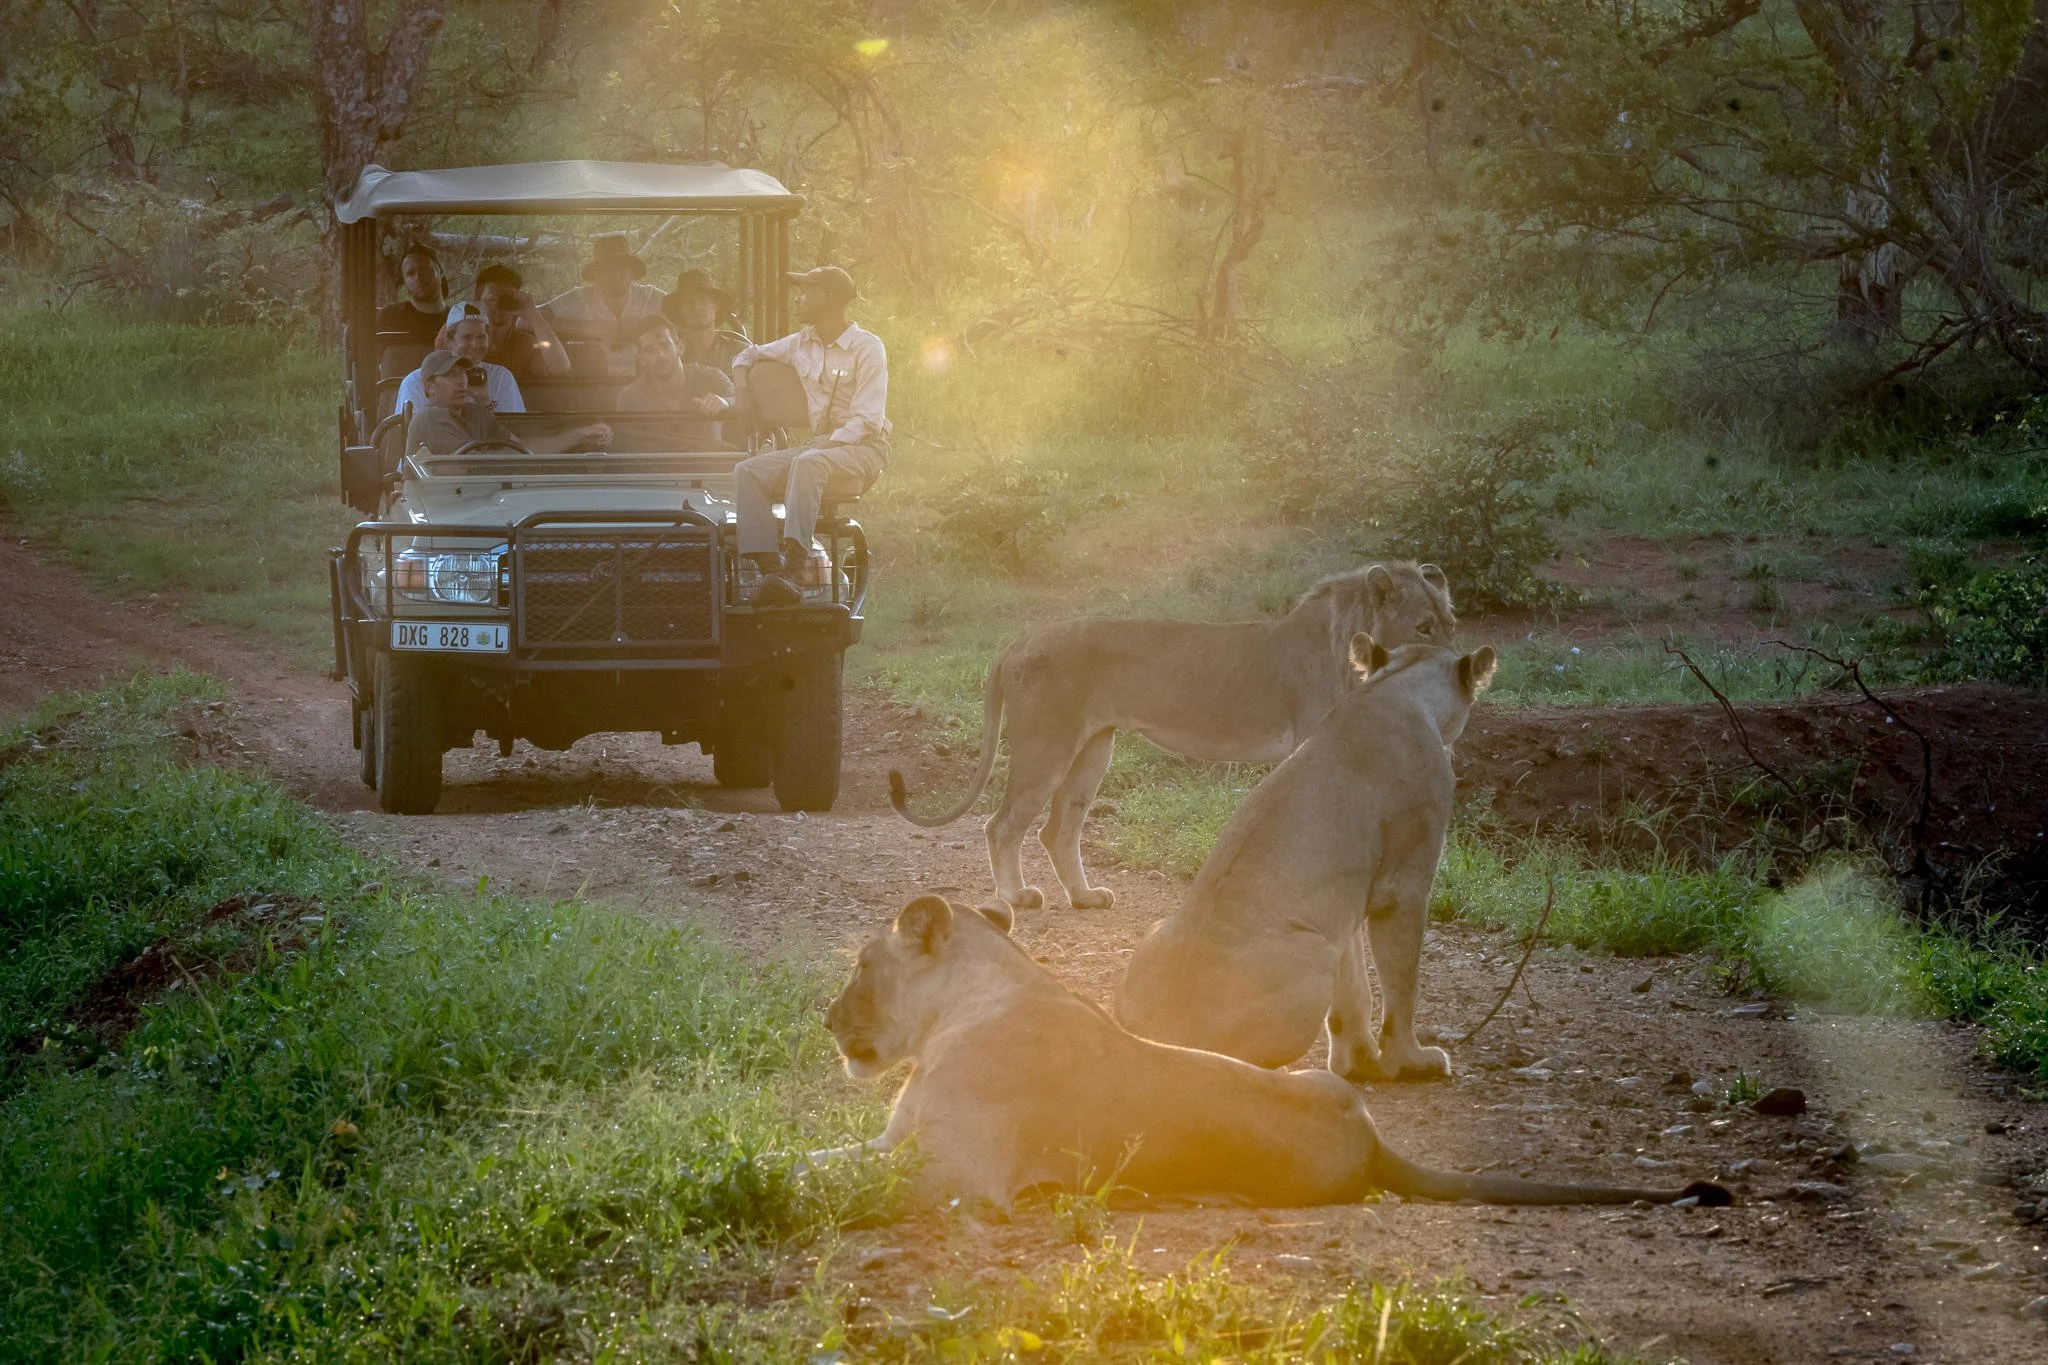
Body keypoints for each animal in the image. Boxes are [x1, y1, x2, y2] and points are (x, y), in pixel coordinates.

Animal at [815, 894, 1730, 1213]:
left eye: (859, 965)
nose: (825, 1021)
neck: (965, 1004)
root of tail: (1370, 1134)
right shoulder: (899, 1144)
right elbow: (819, 1152)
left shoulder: (949, 1176)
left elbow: (816, 1169)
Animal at [888, 562, 1455, 913]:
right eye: (1424, 626)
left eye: (1451, 622)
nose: (1458, 663)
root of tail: (1017, 642)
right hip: (1047, 744)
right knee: (1003, 824)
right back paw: (1016, 898)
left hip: (1094, 749)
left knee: (1057, 830)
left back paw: (1086, 898)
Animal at [1115, 639, 1494, 1084]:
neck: (1394, 686)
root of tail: (1159, 1036)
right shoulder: (1402, 887)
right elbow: (1403, 985)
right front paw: (1410, 1060)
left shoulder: (1343, 906)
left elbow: (1354, 990)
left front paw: (1359, 1062)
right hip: (1312, 951)